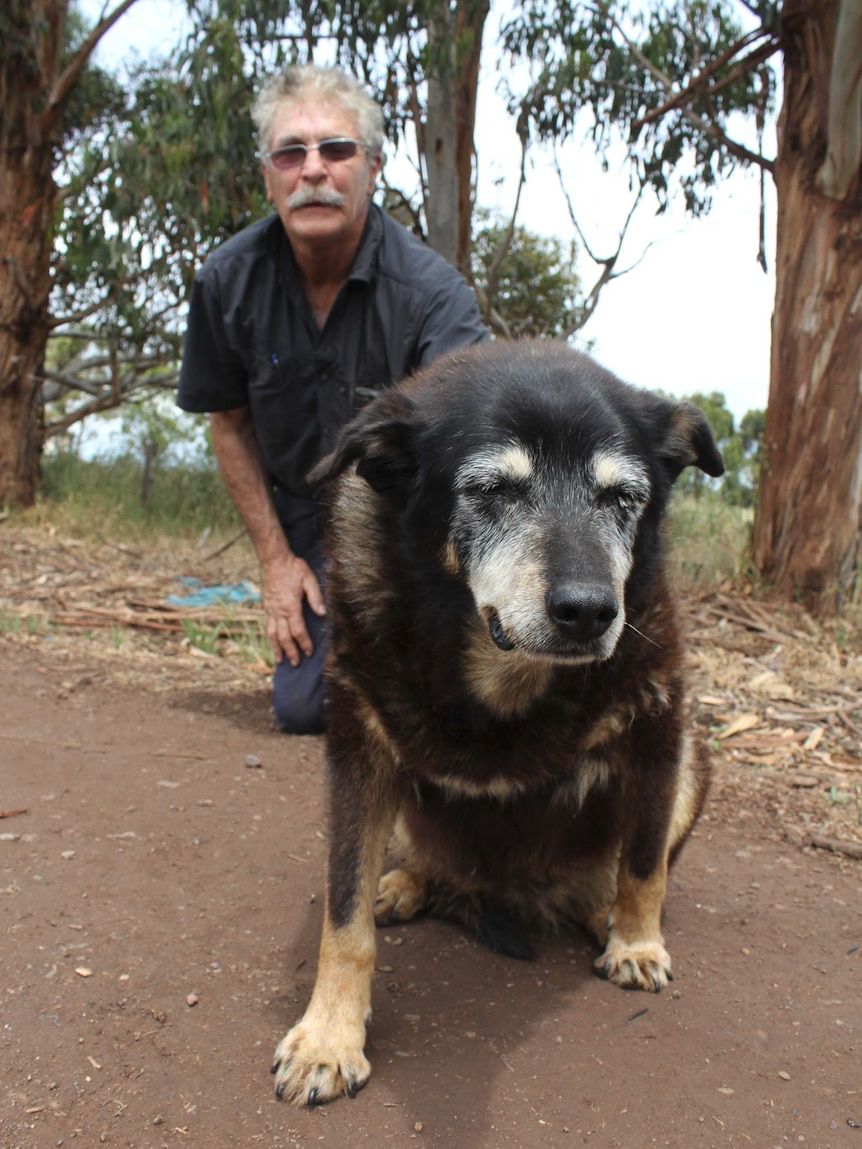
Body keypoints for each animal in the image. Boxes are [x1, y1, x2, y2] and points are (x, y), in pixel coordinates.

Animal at [273, 337, 726, 1103]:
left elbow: (643, 863)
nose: (589, 612)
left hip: (694, 762)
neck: (501, 674)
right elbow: (344, 913)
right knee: (424, 861)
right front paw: (330, 1036)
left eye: (624, 498)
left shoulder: (659, 729)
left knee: (626, 861)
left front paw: (637, 939)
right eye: (492, 491)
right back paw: (408, 882)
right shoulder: (359, 749)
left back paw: (602, 911)